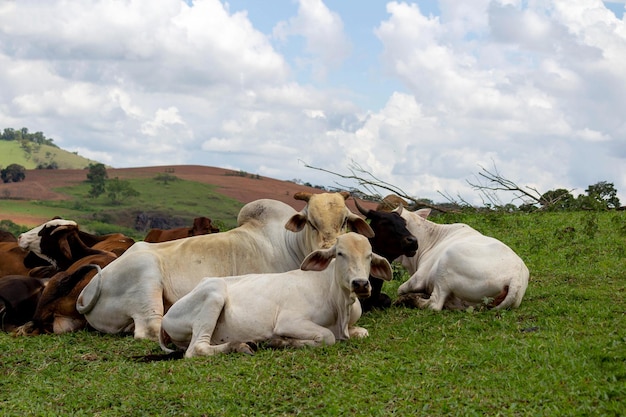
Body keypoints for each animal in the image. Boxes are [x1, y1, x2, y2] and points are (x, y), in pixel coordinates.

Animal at [75, 191, 372, 338]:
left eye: (345, 221)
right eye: (311, 222)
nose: (329, 248)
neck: (291, 243)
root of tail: (89, 290)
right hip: (146, 277)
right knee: (150, 328)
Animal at [157, 231, 390, 358]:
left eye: (369, 256)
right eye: (340, 253)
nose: (360, 284)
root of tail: (166, 317)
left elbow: (363, 332)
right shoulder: (289, 321)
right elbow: (327, 337)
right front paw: (280, 341)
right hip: (214, 293)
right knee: (196, 349)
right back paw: (240, 345)